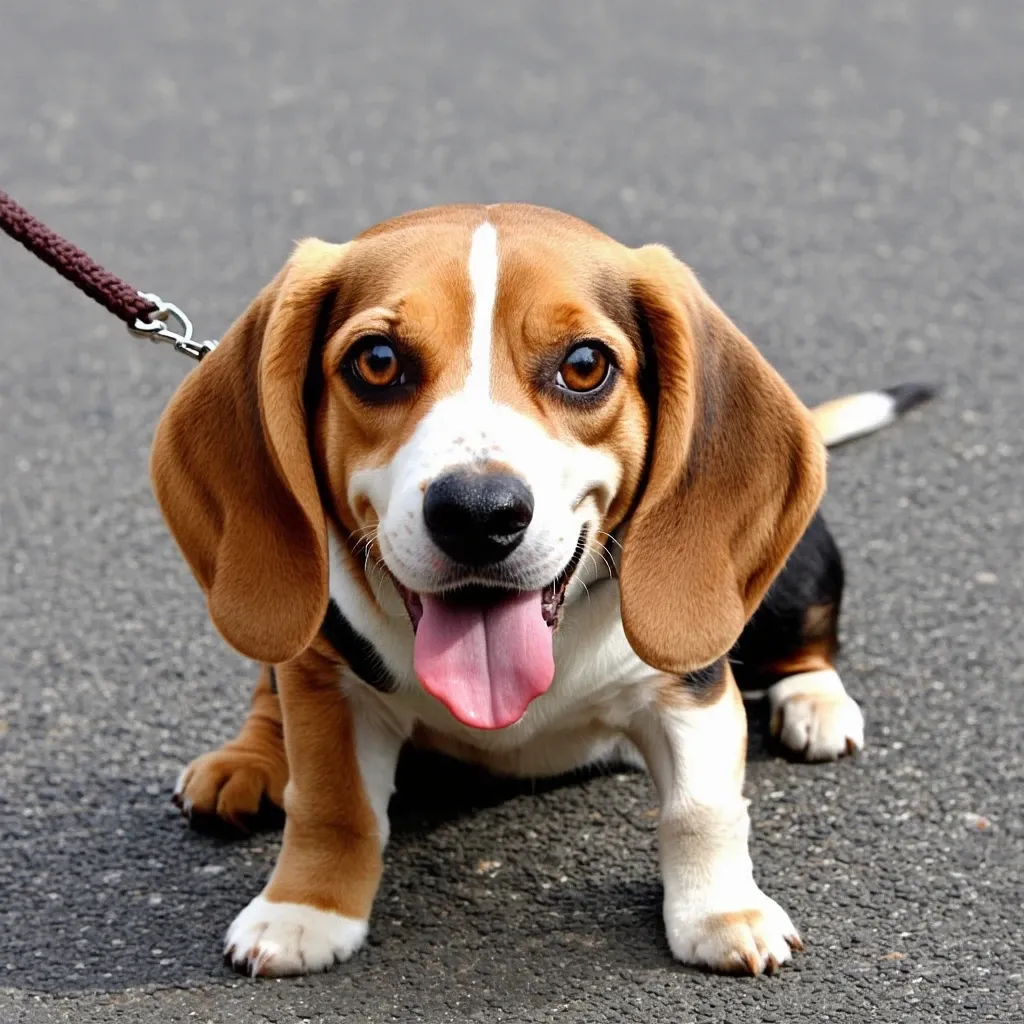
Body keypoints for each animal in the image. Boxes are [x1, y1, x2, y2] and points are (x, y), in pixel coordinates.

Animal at [153, 199, 937, 974]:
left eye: (585, 365)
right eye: (377, 362)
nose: (476, 514)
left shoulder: (690, 688)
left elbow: (702, 807)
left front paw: (723, 913)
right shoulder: (327, 680)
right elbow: (330, 802)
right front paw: (303, 911)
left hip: (790, 584)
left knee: (810, 643)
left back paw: (815, 702)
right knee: (268, 688)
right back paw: (245, 762)